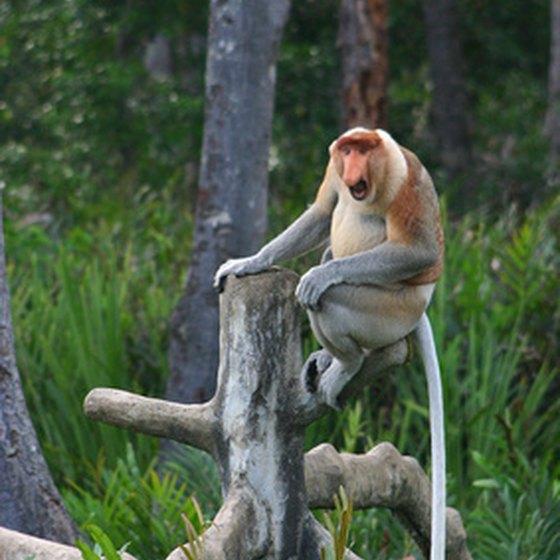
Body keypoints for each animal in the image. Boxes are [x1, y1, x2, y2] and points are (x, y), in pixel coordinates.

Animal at [214, 128, 446, 560]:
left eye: (364, 150)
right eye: (346, 150)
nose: (352, 165)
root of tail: (420, 308)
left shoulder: (406, 178)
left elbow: (419, 250)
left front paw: (318, 277)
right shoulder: (333, 174)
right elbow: (323, 212)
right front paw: (247, 262)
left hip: (392, 310)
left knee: (329, 298)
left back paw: (347, 361)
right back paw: (327, 359)